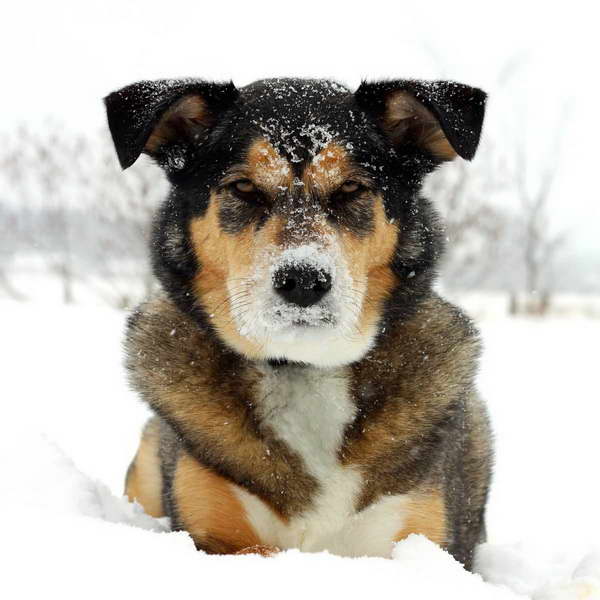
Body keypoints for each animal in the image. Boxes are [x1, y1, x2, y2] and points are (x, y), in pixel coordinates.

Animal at [105, 77, 492, 568]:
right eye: (244, 187)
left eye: (351, 188)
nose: (304, 281)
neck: (303, 368)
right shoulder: (214, 538)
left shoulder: (422, 538)